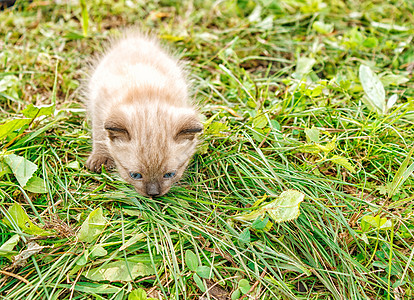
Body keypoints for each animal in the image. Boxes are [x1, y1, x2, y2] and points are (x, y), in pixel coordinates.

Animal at [84, 30, 202, 197]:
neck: (146, 95)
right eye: (135, 175)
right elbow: (100, 135)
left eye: (169, 174)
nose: (153, 193)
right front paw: (100, 158)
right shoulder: (99, 106)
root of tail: (134, 39)